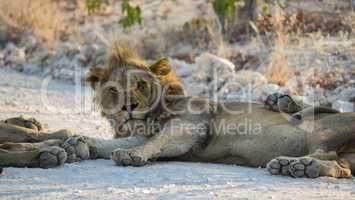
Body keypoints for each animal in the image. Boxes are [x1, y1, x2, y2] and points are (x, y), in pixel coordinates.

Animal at [0, 46, 355, 179]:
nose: (129, 107)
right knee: (340, 166)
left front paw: (132, 157)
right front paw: (79, 144)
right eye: (115, 89)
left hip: (326, 130)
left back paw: (294, 146)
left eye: (140, 85)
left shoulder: (189, 127)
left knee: (332, 150)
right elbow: (116, 143)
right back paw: (295, 164)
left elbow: (150, 145)